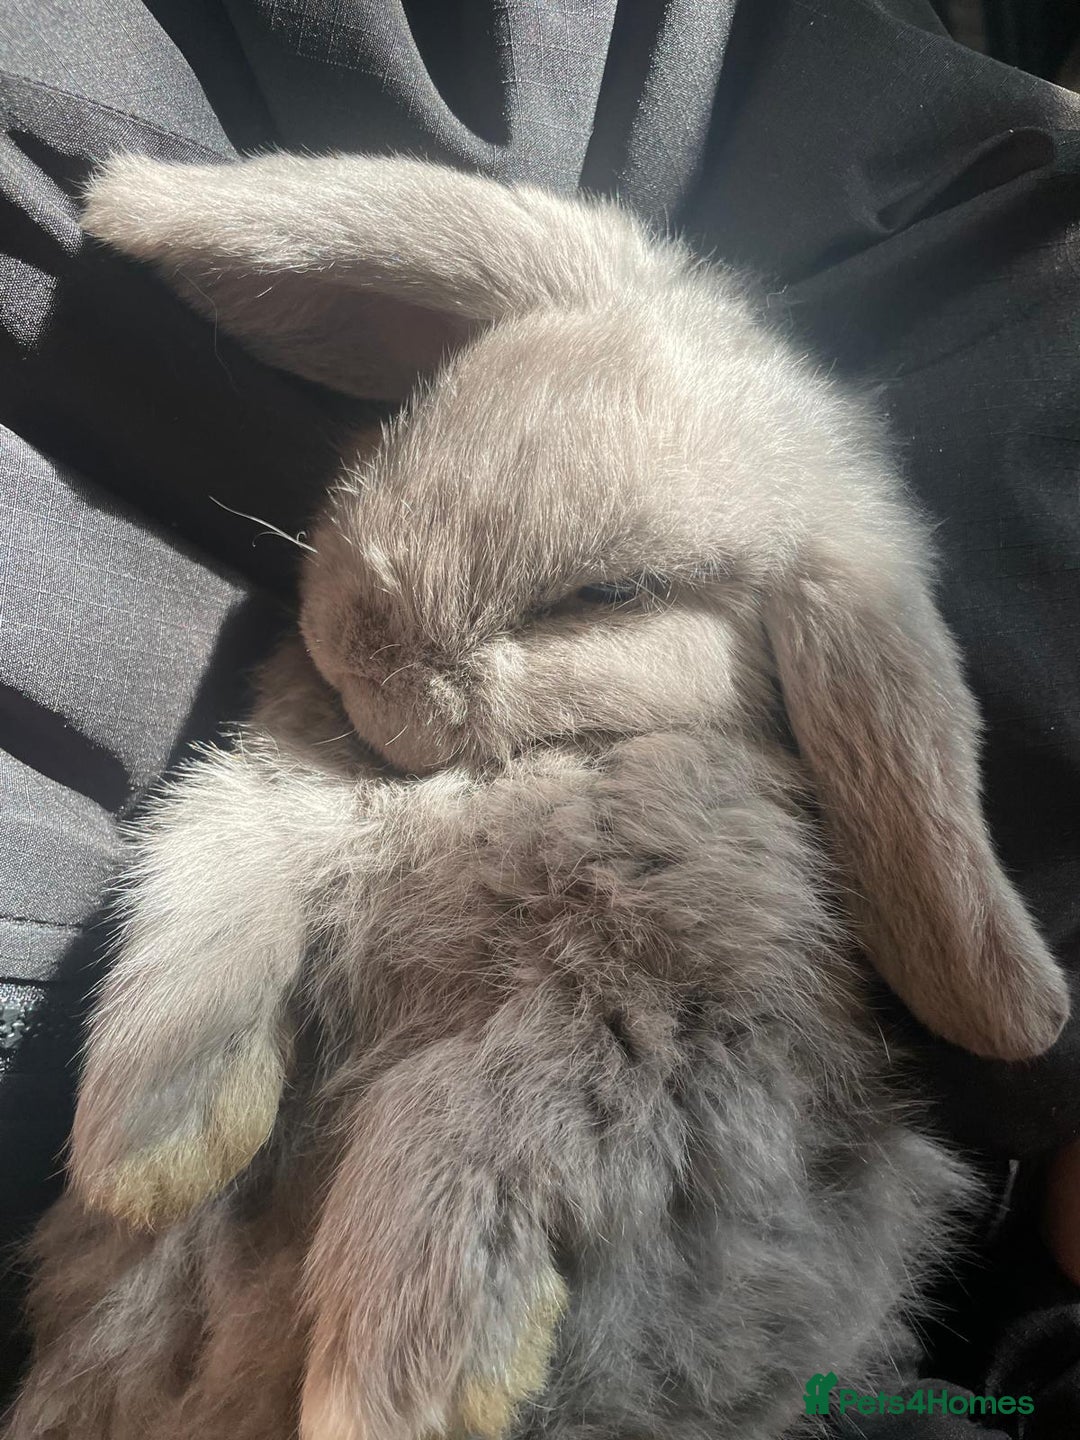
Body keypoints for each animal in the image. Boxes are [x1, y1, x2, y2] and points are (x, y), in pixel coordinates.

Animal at [2, 151, 1070, 1440]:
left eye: (613, 593)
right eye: (433, 403)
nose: (365, 649)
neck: (504, 773)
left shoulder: (633, 1036)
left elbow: (459, 1131)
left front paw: (400, 1396)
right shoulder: (257, 814)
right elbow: (201, 937)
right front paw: (146, 1158)